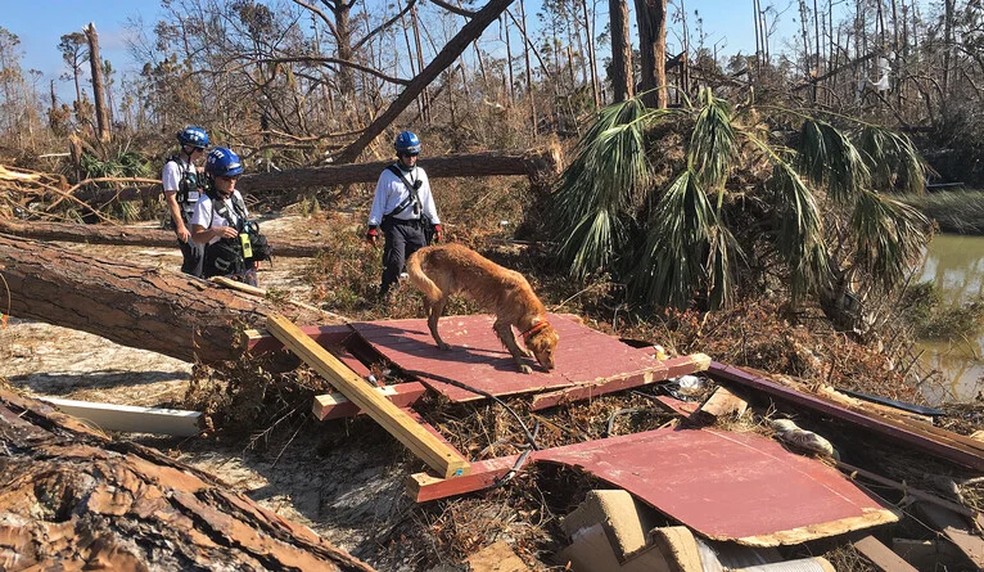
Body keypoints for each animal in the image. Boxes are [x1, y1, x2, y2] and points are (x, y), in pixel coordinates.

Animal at [406, 242, 556, 374]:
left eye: (554, 350)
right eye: (548, 351)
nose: (552, 367)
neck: (526, 304)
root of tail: (436, 248)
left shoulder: (505, 321)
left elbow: (514, 339)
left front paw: (523, 351)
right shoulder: (501, 324)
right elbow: (512, 346)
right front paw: (521, 365)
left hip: (440, 290)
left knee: (426, 300)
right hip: (442, 294)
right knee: (432, 322)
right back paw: (441, 344)